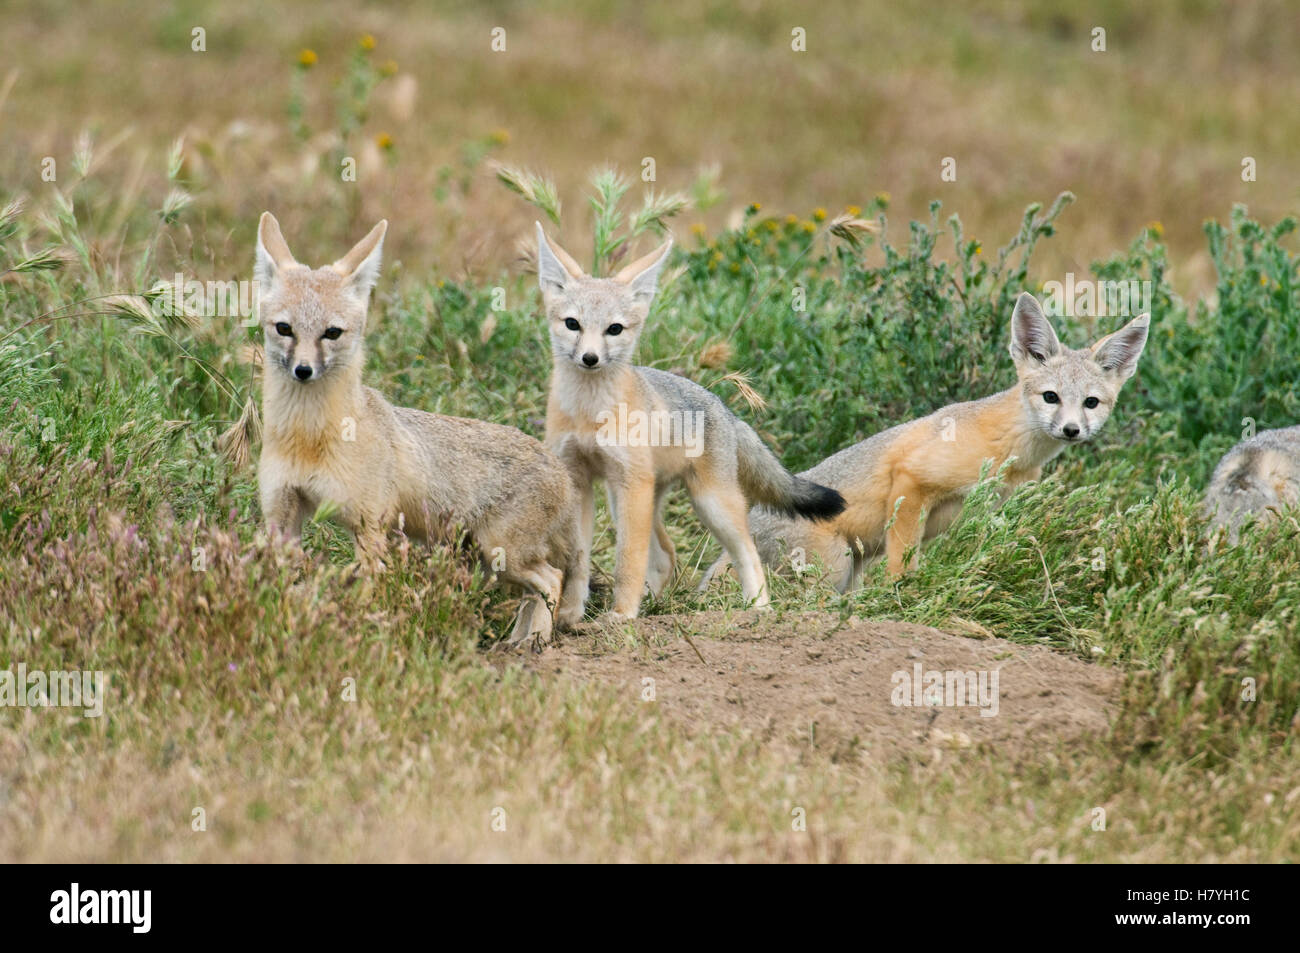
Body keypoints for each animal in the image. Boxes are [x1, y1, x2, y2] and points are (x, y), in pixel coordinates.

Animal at [254, 212, 583, 647]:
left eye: (332, 333)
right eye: (284, 328)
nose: (303, 370)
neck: (309, 438)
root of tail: (561, 468)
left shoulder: (370, 528)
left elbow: (366, 594)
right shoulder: (282, 517)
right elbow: (278, 588)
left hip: (503, 554)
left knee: (553, 579)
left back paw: (536, 643)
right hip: (492, 559)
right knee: (538, 588)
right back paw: (517, 642)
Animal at [534, 222, 846, 621]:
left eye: (614, 329)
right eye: (573, 324)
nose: (590, 358)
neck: (591, 415)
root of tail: (726, 410)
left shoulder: (631, 483)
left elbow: (628, 560)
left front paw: (621, 616)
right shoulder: (579, 479)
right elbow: (578, 558)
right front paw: (570, 615)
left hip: (707, 504)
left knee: (746, 552)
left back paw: (757, 608)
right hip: (631, 499)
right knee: (666, 555)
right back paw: (652, 603)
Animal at [702, 292, 1150, 591]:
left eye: (1091, 403)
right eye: (1051, 397)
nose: (1072, 430)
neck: (1005, 445)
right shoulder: (911, 481)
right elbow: (903, 563)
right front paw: (899, 598)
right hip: (836, 564)